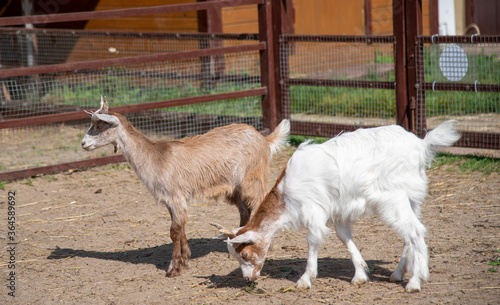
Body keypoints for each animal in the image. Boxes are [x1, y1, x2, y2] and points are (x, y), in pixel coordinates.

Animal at [81, 96, 290, 276]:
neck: (155, 157)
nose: (83, 143)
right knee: (244, 210)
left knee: (260, 204)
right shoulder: (171, 199)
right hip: (236, 187)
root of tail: (264, 139)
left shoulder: (175, 195)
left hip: (252, 178)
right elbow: (179, 228)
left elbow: (174, 231)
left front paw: (173, 268)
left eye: (100, 125)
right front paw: (185, 258)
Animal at [217, 120, 458, 290]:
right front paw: (360, 275)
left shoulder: (313, 208)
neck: (286, 196)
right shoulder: (338, 211)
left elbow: (313, 239)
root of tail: (421, 145)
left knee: (415, 232)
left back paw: (415, 281)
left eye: (245, 255)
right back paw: (398, 273)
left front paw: (305, 279)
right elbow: (345, 238)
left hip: (393, 199)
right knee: (410, 234)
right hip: (411, 199)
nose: (248, 279)